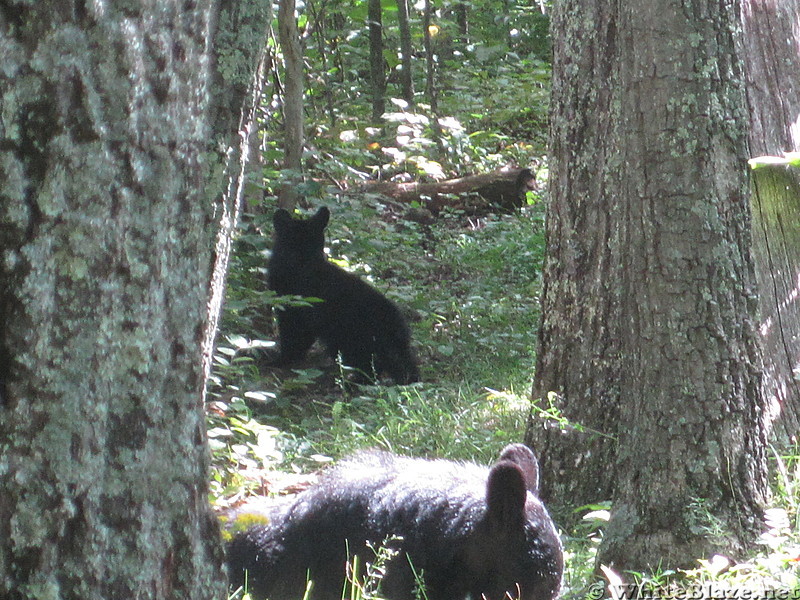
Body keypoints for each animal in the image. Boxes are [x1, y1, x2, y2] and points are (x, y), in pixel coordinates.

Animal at [268, 206, 418, 384]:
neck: (303, 260)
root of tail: (396, 326)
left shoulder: (295, 310)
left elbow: (292, 340)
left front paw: (280, 360)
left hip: (351, 338)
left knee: (372, 367)